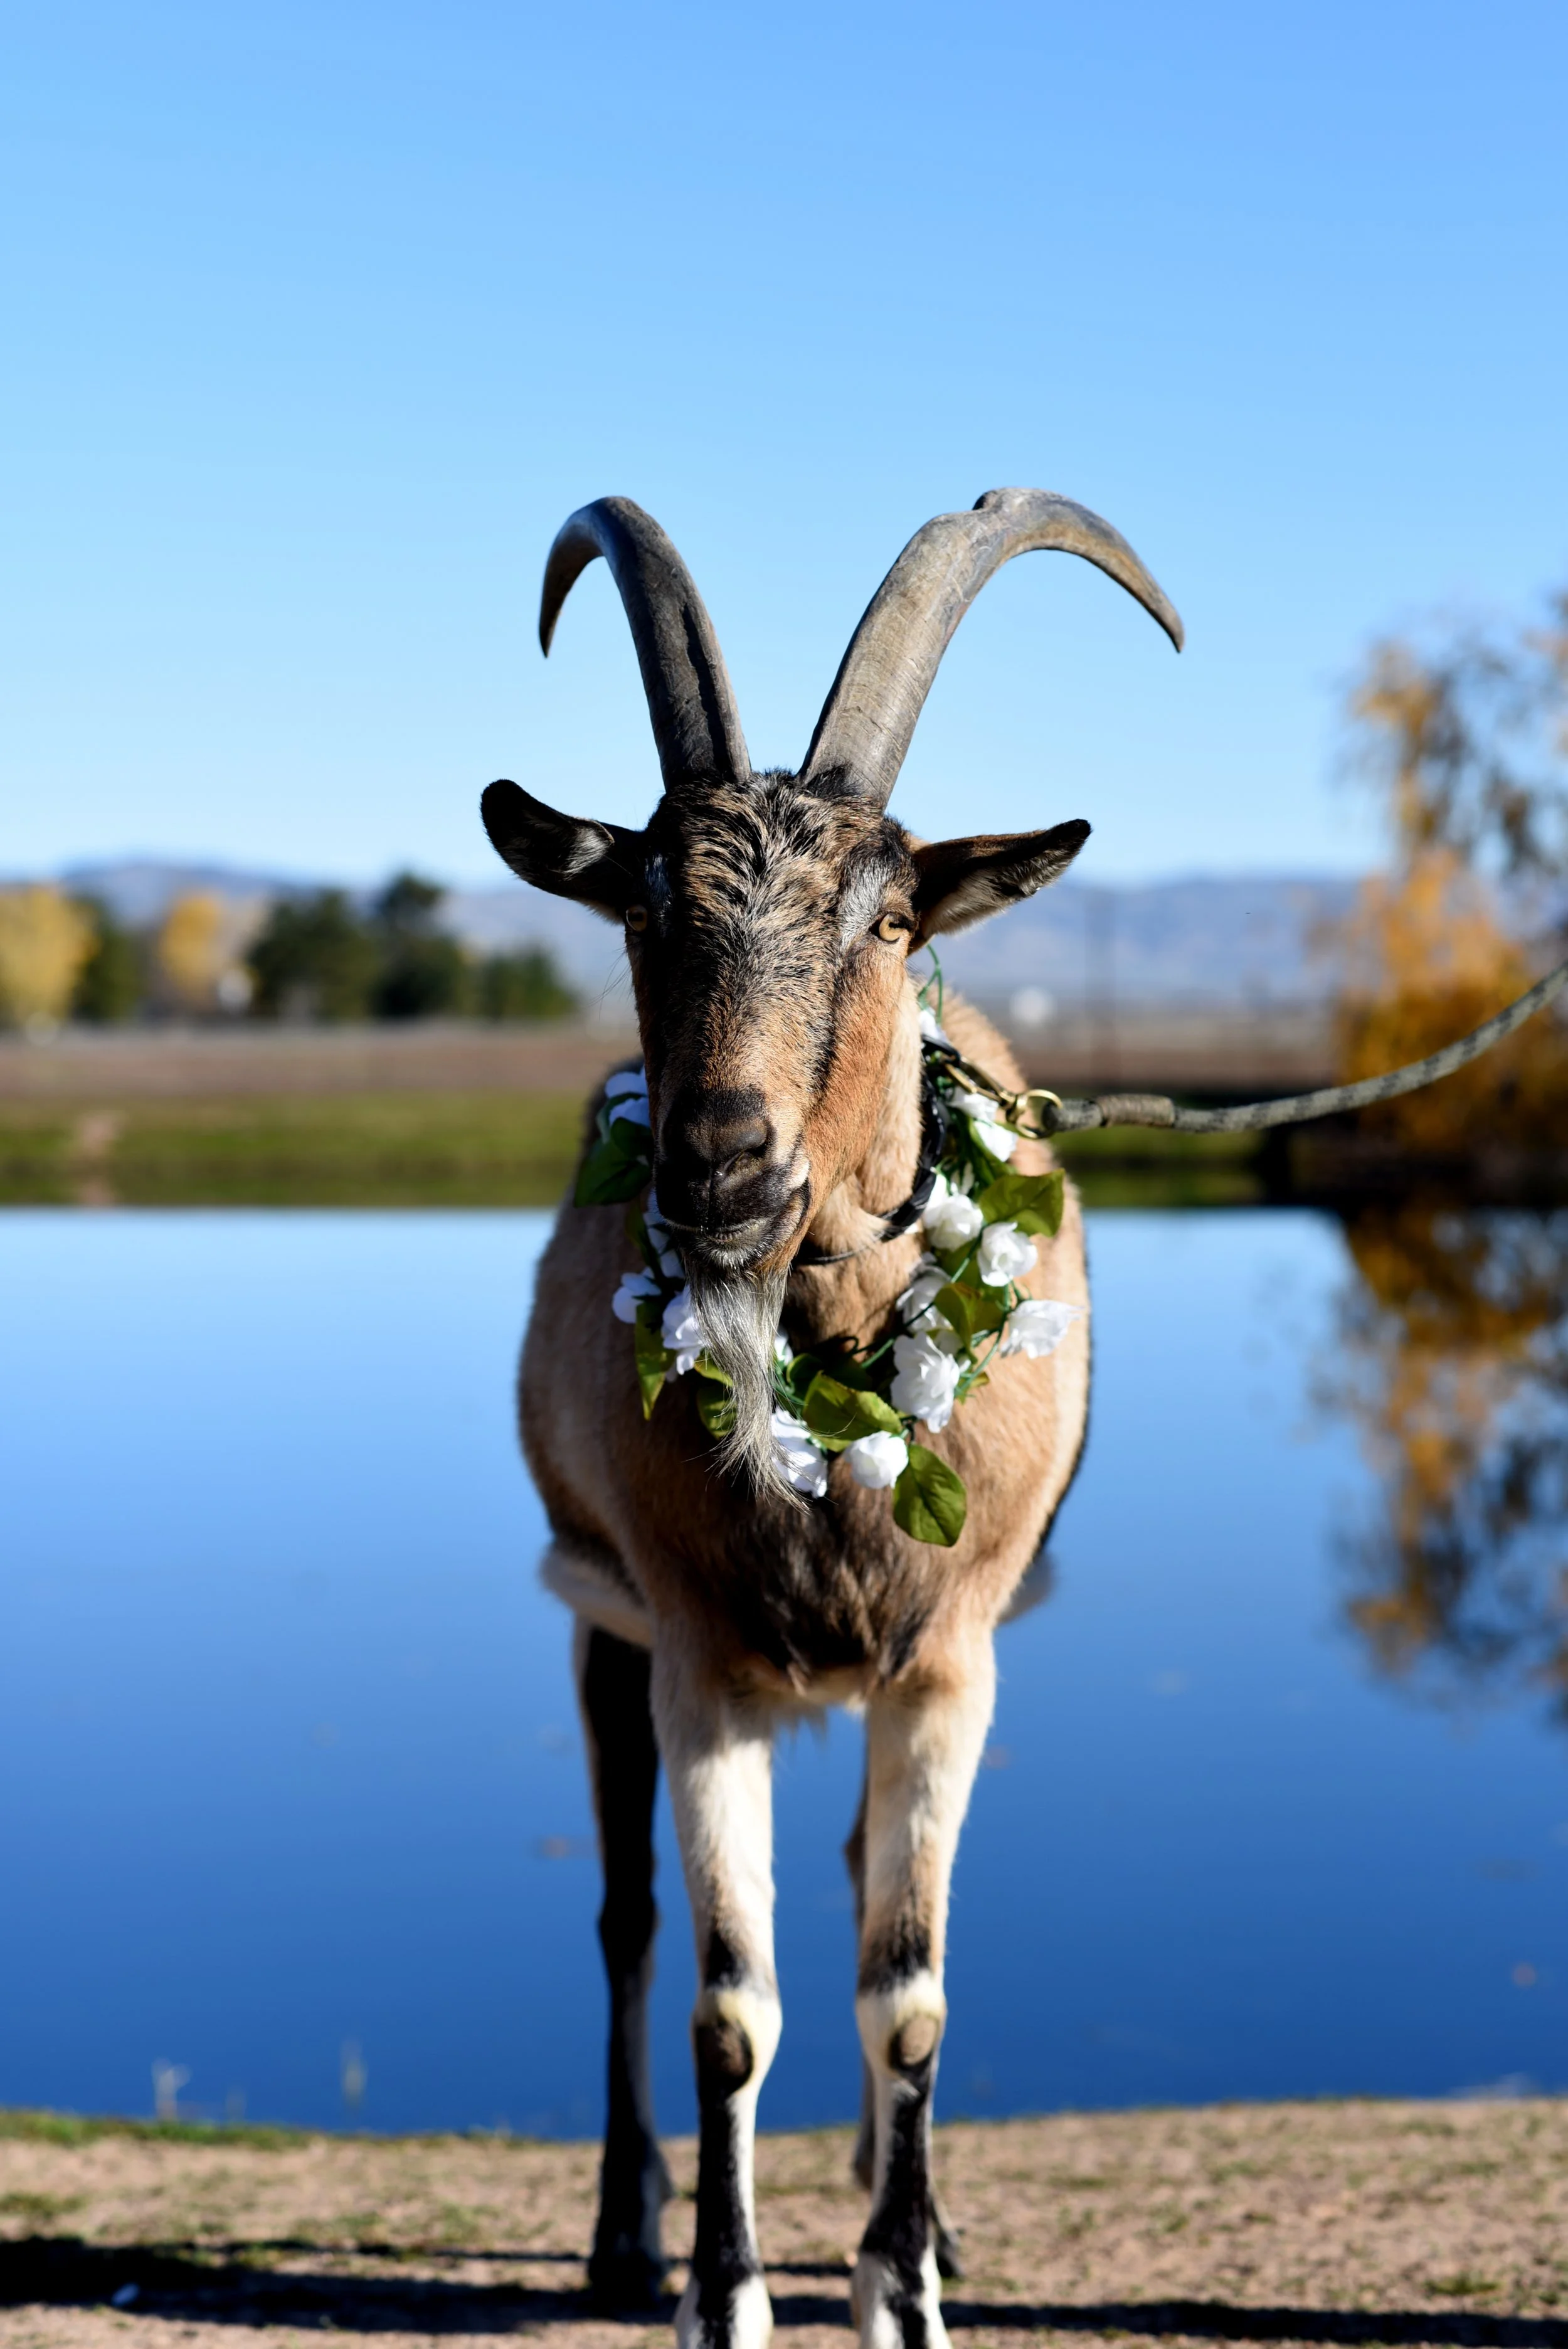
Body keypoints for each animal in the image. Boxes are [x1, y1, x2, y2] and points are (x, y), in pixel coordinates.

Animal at [480, 490, 1181, 2349]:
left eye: (886, 918)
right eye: (642, 908)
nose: (722, 1164)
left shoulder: (948, 1657)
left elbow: (905, 1988)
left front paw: (906, 2282)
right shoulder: (697, 1651)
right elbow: (731, 2001)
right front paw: (723, 2296)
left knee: (865, 1877)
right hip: (595, 1622)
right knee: (624, 1918)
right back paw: (622, 2230)